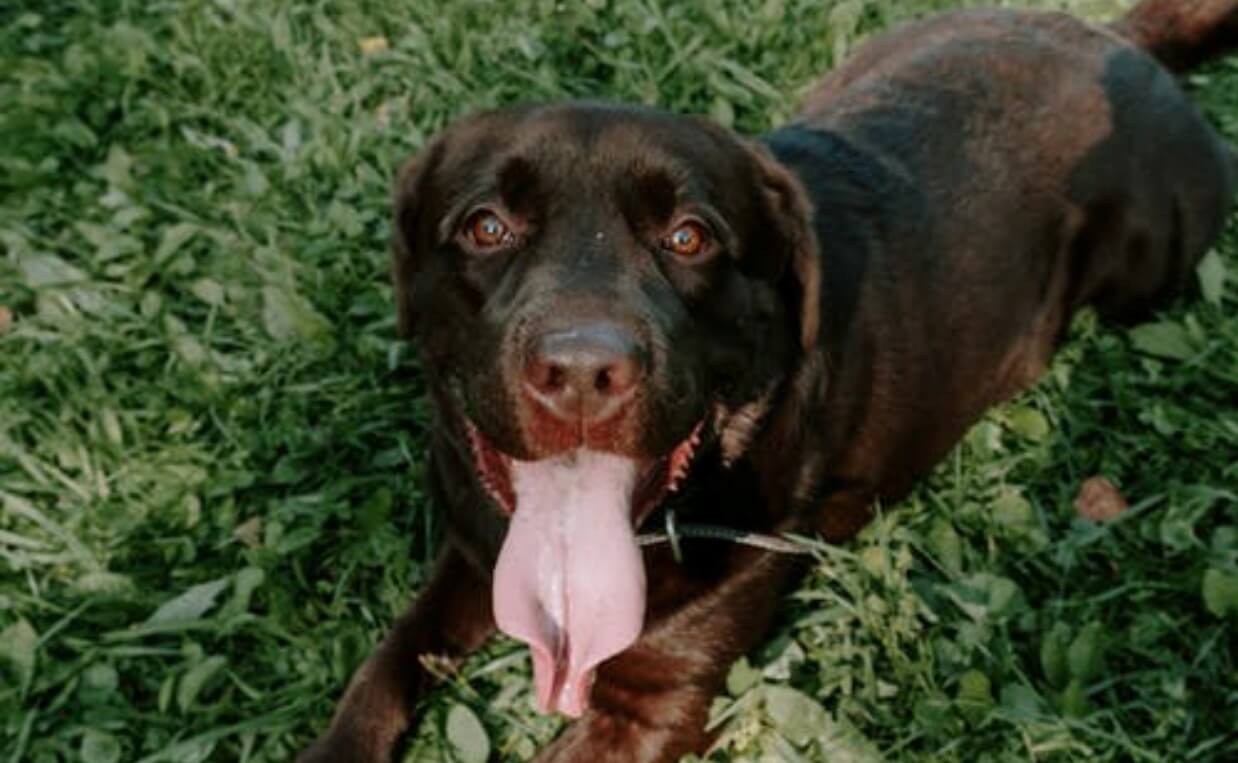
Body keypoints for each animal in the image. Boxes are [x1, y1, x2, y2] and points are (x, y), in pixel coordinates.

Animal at [302, 2, 1238, 758]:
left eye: (689, 237)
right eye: (486, 226)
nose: (580, 368)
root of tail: (1122, 41)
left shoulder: (656, 705)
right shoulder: (473, 553)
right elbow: (379, 669)